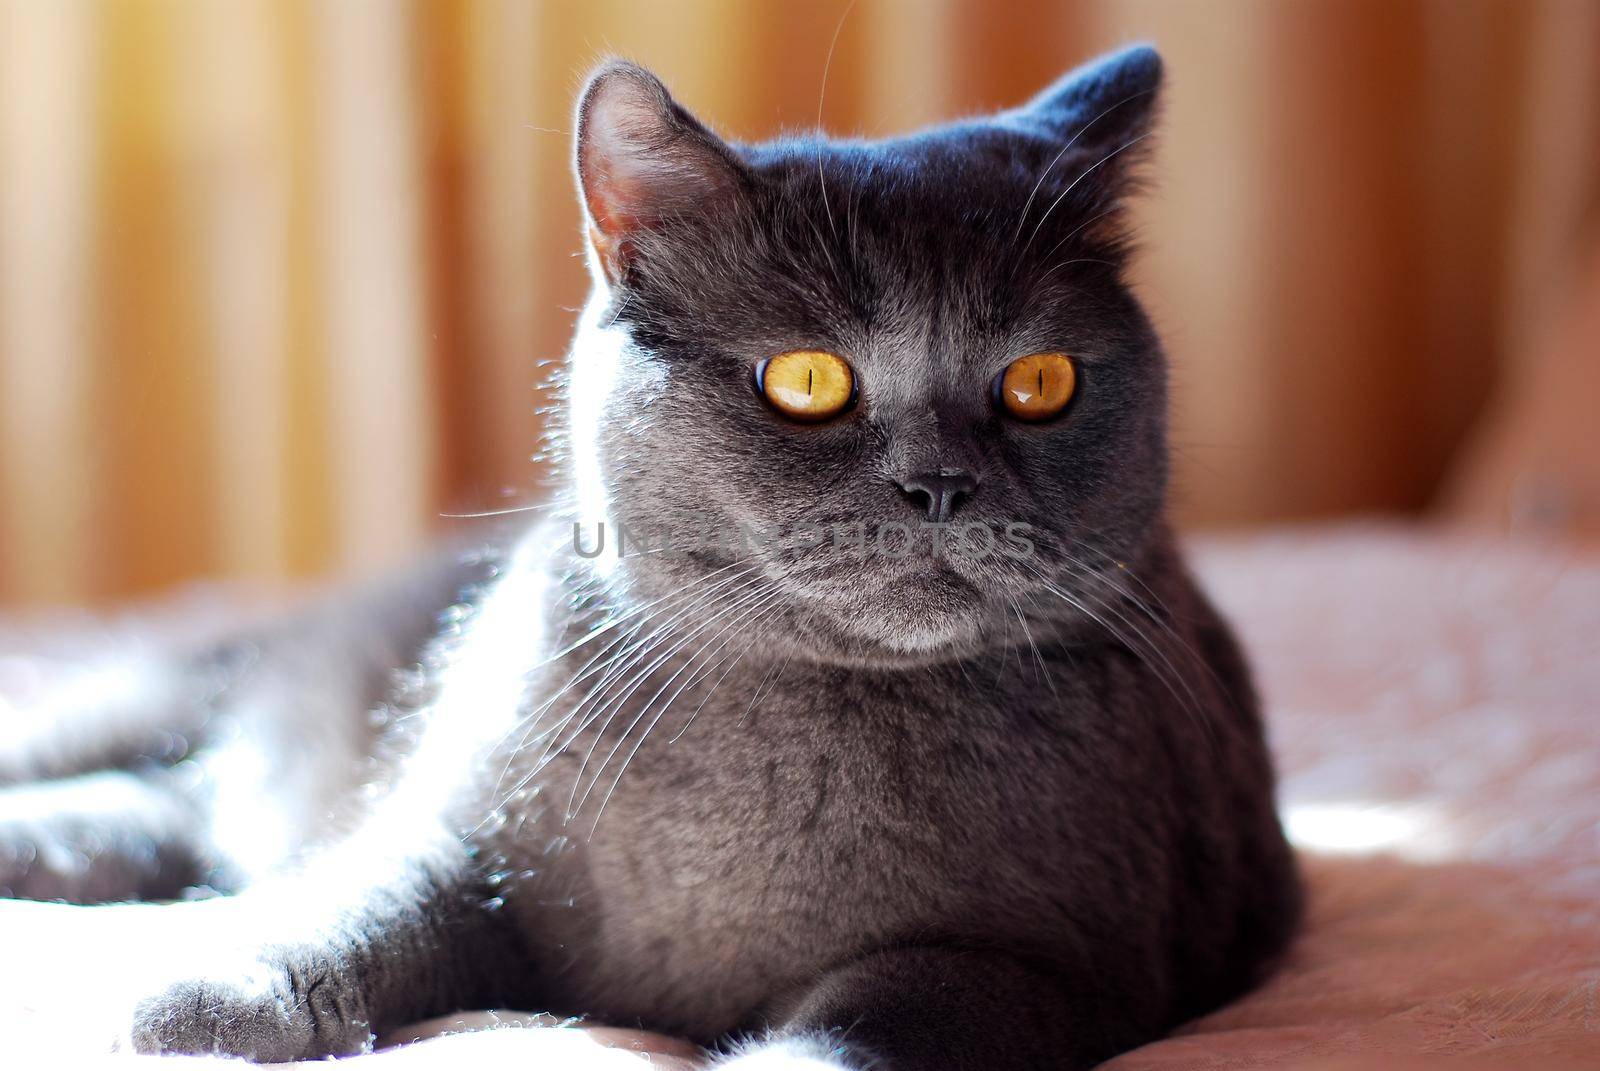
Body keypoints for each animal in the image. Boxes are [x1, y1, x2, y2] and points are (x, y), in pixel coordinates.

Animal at [0, 43, 1299, 1069]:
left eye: (1039, 383)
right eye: (807, 381)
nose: (941, 484)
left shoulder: (1042, 964)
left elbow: (865, 1029)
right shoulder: (466, 840)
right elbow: (360, 896)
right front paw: (209, 1002)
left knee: (157, 812)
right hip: (159, 699)